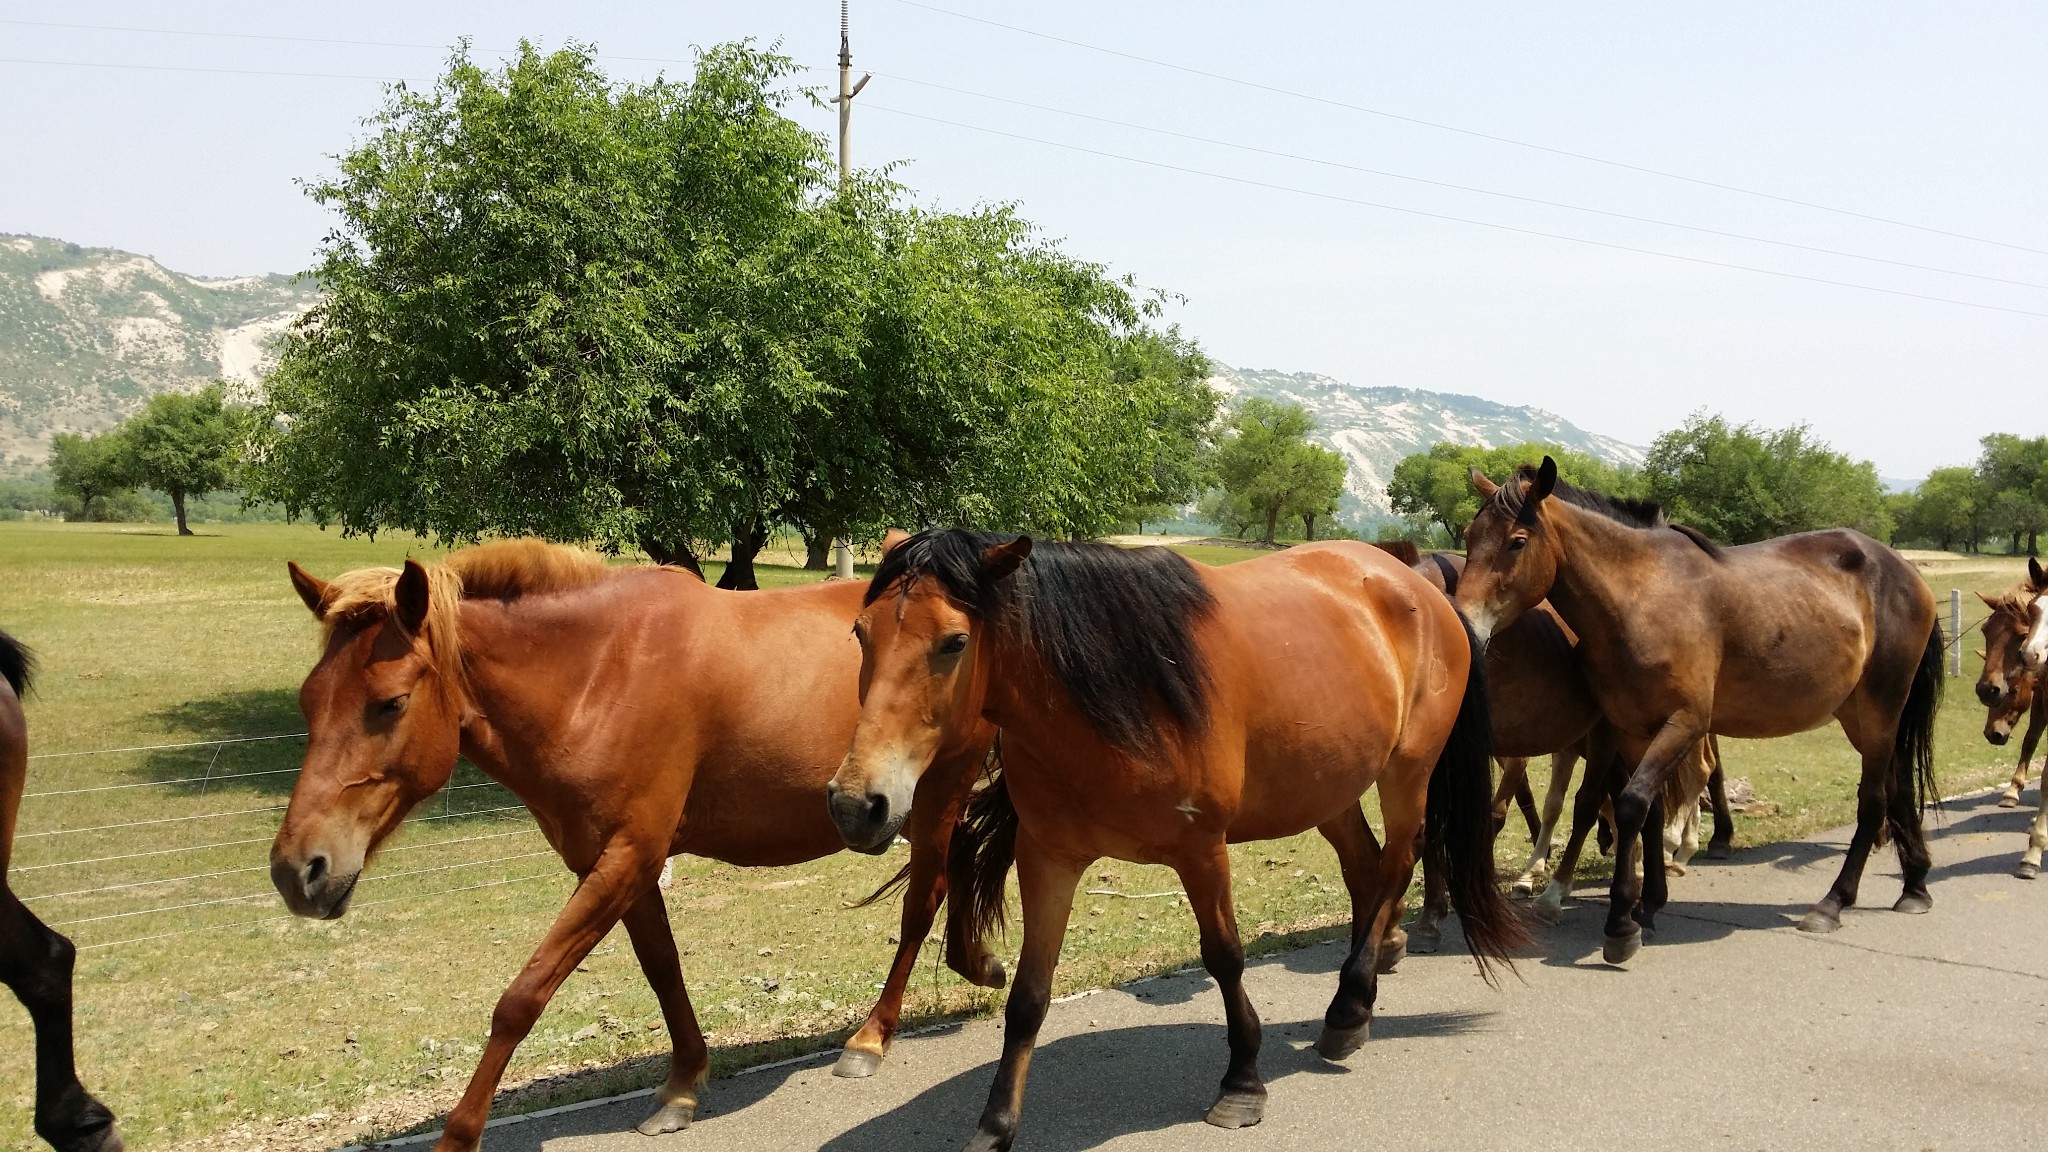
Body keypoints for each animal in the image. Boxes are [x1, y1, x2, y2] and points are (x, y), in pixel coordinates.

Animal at [268, 541, 1003, 1147]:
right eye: (307, 700)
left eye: (390, 703)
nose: (297, 870)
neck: (598, 677)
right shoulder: (616, 862)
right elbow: (662, 968)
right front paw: (683, 1083)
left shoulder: (628, 857)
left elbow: (522, 999)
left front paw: (459, 1135)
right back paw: (975, 963)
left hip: (933, 794)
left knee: (922, 902)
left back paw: (871, 1038)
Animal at [819, 532, 1523, 1147]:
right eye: (860, 633)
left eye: (955, 641)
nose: (857, 804)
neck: (1121, 691)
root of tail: (1422, 588)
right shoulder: (1048, 858)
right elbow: (1028, 998)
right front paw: (995, 1127)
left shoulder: (1201, 851)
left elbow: (1226, 958)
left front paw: (1242, 1083)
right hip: (1330, 788)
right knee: (1366, 869)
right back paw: (1358, 1002)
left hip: (1407, 772)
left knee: (1399, 861)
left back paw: (1349, 1004)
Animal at [1458, 457, 1933, 959]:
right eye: (1469, 536)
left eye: (1517, 541)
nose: (1464, 622)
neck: (1641, 599)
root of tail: (1902, 569)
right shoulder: (1633, 731)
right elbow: (1647, 813)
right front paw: (1646, 907)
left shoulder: (1683, 723)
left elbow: (1630, 805)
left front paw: (1621, 924)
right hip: (1859, 716)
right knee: (1899, 788)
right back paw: (1915, 887)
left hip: (1882, 709)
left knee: (1874, 799)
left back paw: (1832, 903)